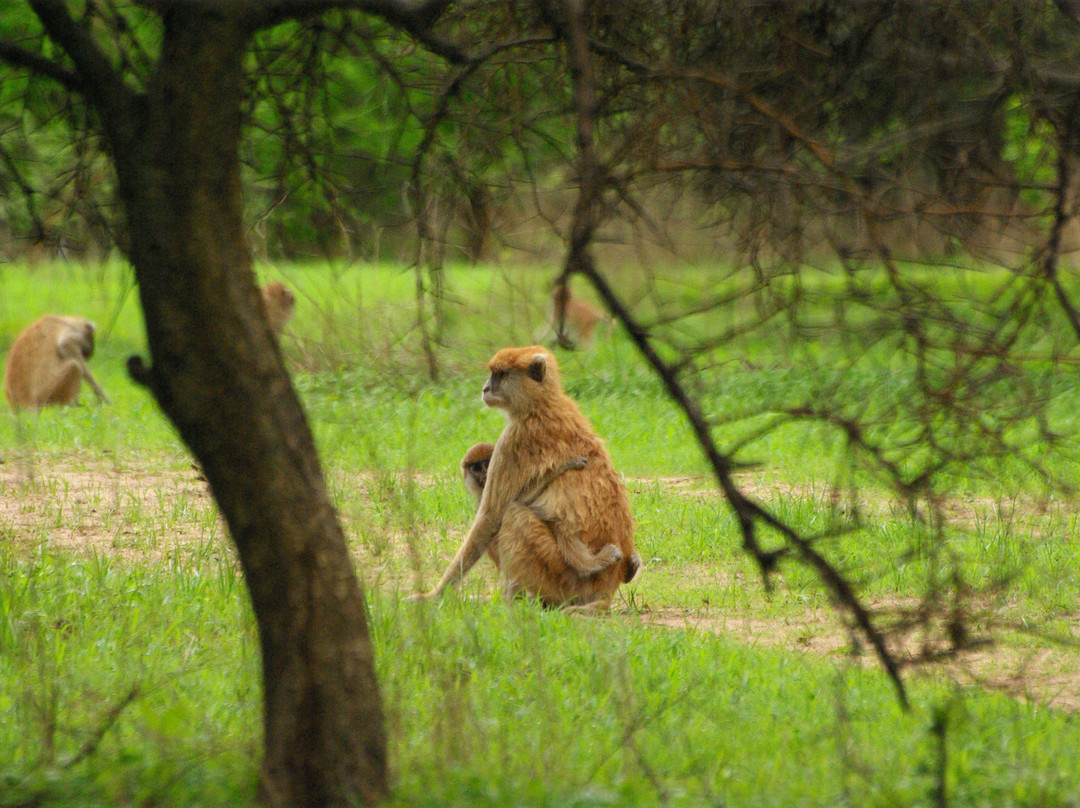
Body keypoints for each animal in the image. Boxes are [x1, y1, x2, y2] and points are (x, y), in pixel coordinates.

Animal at [457, 442, 626, 578]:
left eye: (487, 464)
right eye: (476, 468)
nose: (484, 475)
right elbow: (512, 505)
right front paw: (557, 468)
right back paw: (590, 566)